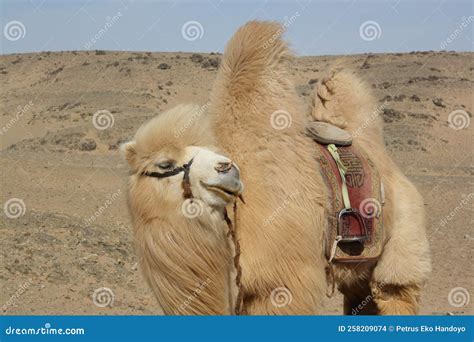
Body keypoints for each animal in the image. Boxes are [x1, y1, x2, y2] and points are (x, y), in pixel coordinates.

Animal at [121, 21, 430, 316]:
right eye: (165, 163)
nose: (227, 168)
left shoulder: (284, 285)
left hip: (400, 250)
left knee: (395, 292)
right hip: (358, 269)